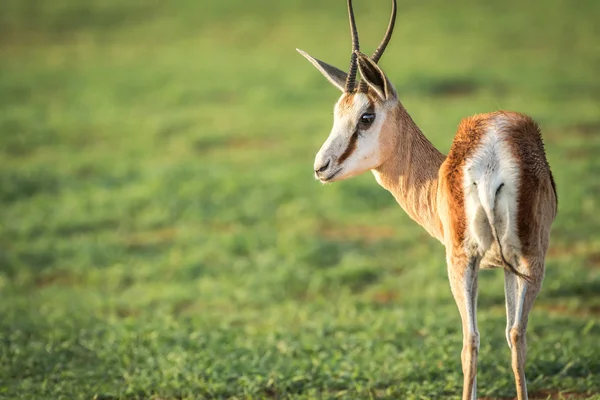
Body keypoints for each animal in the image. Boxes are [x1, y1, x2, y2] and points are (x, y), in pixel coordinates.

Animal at [296, 1, 556, 398]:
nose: (320, 167)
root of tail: (491, 158)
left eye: (366, 116)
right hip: (517, 260)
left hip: (470, 261)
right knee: (509, 336)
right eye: (337, 114)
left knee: (474, 339)